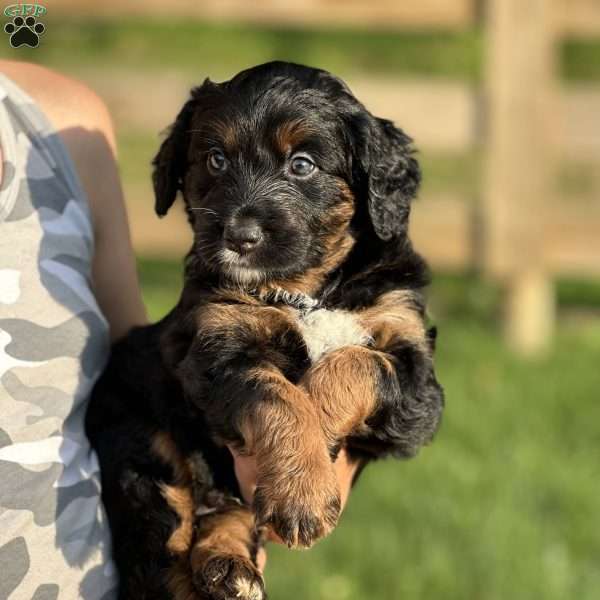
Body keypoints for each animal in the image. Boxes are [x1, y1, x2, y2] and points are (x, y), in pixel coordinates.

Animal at [88, 62, 446, 600]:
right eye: (215, 160)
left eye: (301, 165)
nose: (239, 237)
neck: (308, 291)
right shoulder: (218, 346)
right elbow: (276, 395)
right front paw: (303, 490)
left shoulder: (416, 375)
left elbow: (358, 361)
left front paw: (318, 434)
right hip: (140, 442)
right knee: (164, 542)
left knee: (227, 514)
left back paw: (226, 567)